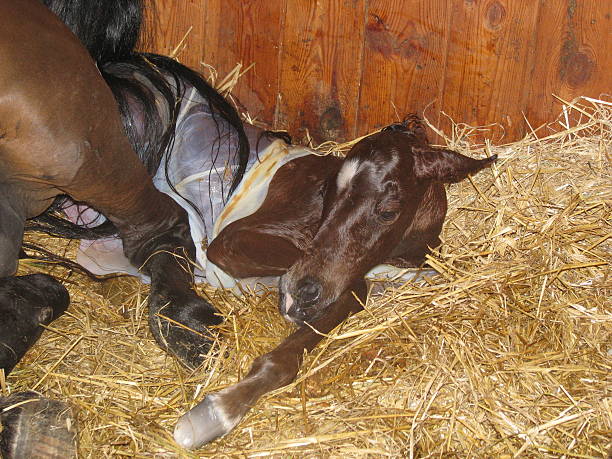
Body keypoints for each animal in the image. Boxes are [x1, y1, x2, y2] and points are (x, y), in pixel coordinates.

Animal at [173, 120, 498, 452]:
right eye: (326, 192)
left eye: (388, 211)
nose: (300, 295)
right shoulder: (230, 241)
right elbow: (355, 287)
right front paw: (214, 412)